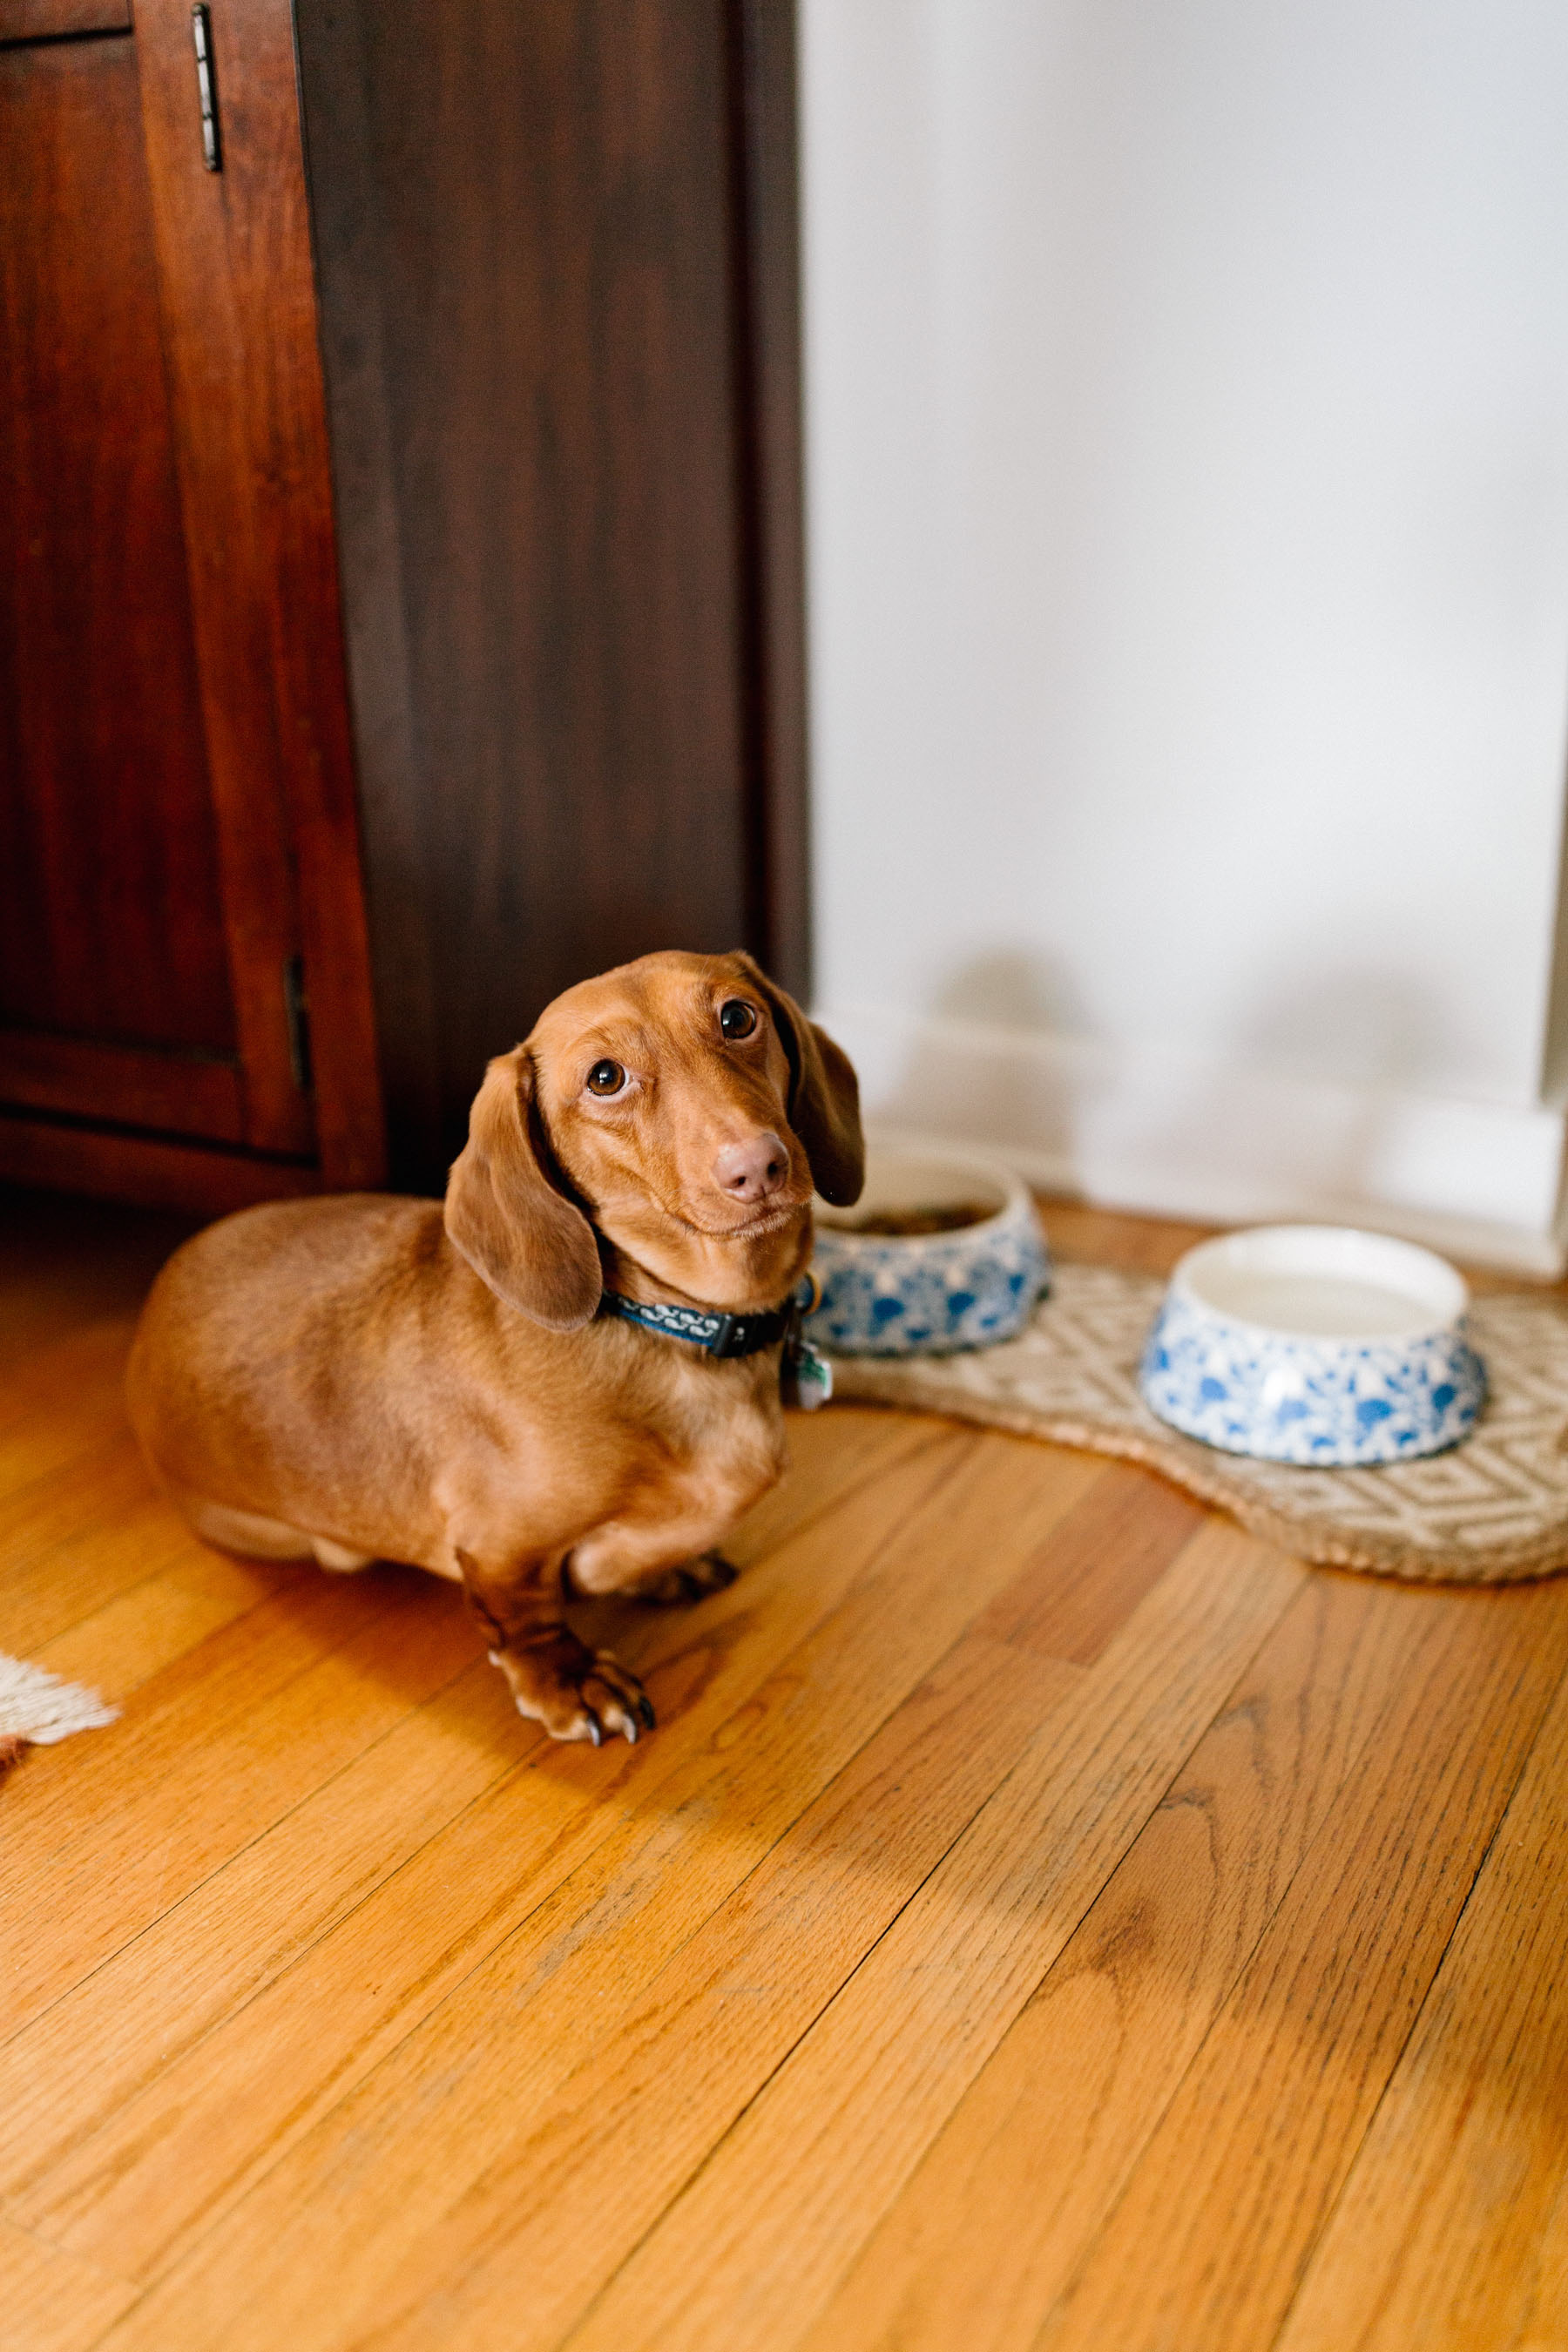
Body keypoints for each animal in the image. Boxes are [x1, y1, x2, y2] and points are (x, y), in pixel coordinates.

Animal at [127, 955, 865, 1749]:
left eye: (737, 1017)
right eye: (605, 1078)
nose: (758, 1166)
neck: (668, 1323)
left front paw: (667, 1568)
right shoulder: (498, 1546)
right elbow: (523, 1615)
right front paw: (569, 1679)